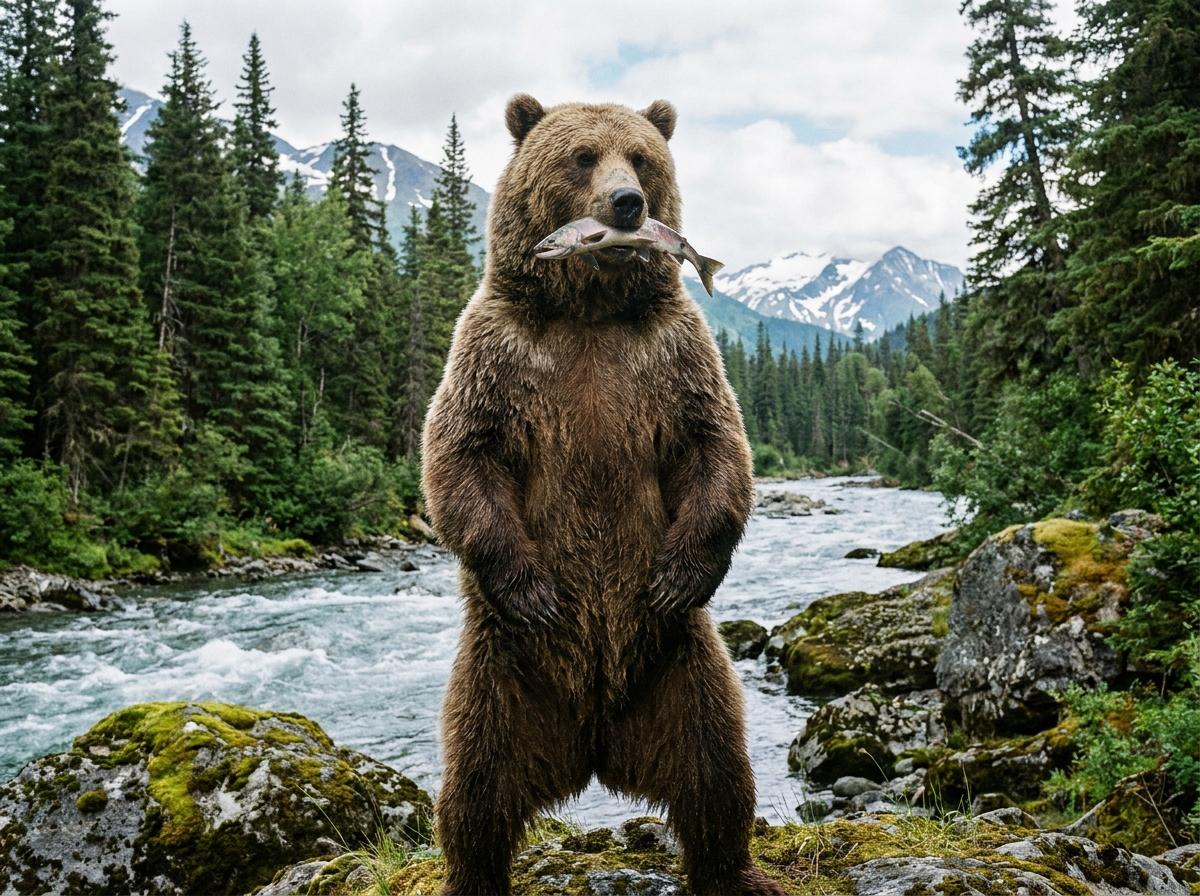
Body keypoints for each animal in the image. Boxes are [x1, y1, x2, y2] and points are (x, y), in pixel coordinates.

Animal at [421, 94, 785, 896]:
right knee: (475, 788)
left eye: (641, 157)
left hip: (681, 665)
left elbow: (715, 445)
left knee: (716, 770)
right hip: (499, 674)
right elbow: (462, 452)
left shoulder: (670, 354)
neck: (589, 309)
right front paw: (530, 587)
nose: (627, 204)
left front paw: (683, 571)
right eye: (582, 155)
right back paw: (473, 872)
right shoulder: (499, 351)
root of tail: (593, 744)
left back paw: (734, 872)